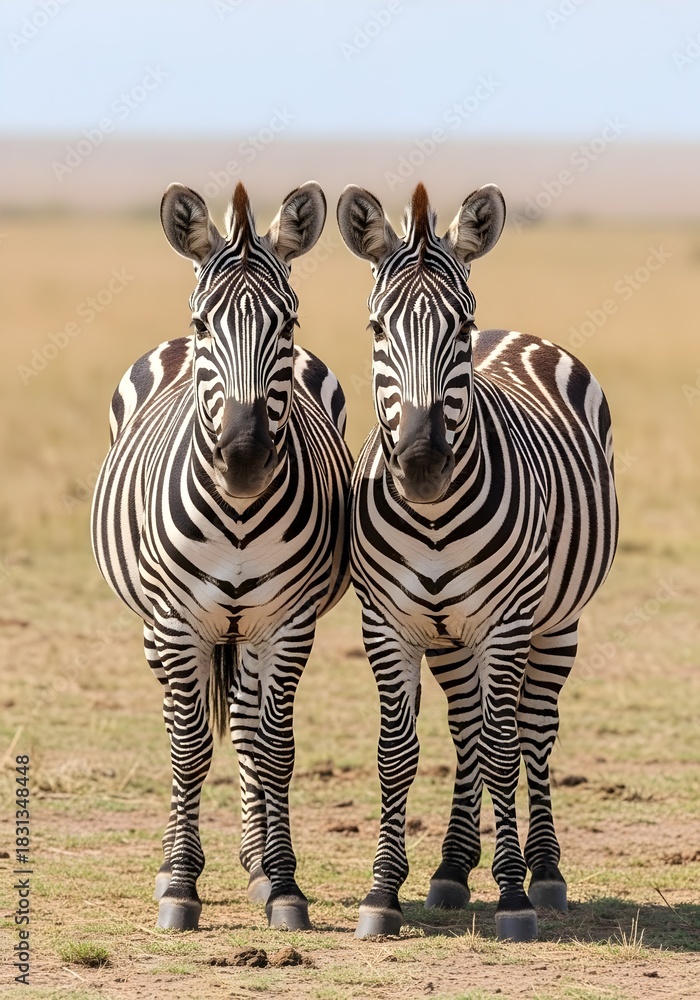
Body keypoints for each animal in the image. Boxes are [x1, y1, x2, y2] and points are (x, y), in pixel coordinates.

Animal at [91, 180, 352, 932]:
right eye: (206, 325)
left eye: (288, 325)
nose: (243, 459)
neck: (236, 513)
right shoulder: (178, 624)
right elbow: (187, 746)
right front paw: (180, 883)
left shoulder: (288, 624)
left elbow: (273, 747)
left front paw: (282, 881)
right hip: (160, 628)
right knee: (189, 722)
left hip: (246, 631)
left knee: (242, 724)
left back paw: (255, 863)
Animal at [337, 182, 618, 941]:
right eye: (375, 328)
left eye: (459, 328)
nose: (422, 465)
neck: (433, 517)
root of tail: (515, 335)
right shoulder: (388, 625)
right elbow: (398, 752)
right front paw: (382, 893)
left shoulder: (507, 622)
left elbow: (502, 746)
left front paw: (515, 897)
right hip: (450, 636)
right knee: (465, 729)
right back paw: (452, 869)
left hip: (554, 623)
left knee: (531, 731)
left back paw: (544, 872)